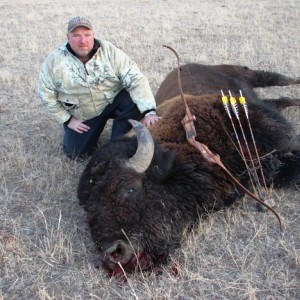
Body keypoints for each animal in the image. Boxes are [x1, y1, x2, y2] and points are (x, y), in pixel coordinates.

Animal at [78, 62, 300, 276]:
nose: (114, 252)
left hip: (247, 74)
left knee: (279, 80)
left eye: (130, 188)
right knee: (279, 99)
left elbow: (290, 140)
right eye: (88, 209)